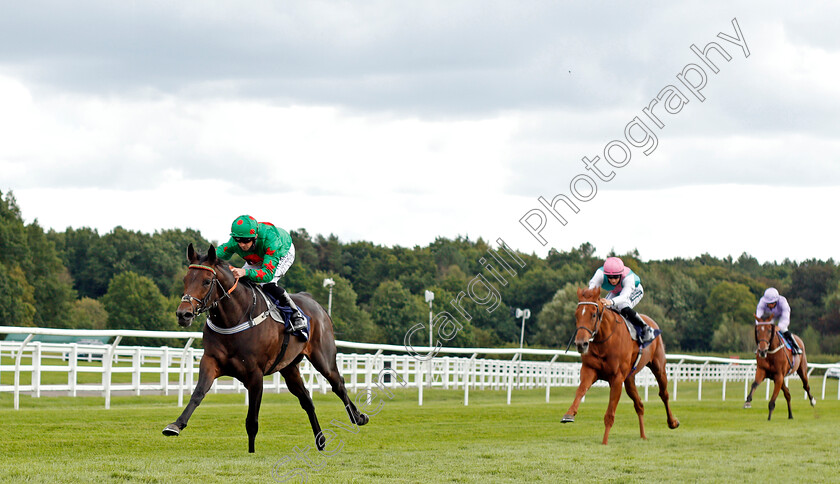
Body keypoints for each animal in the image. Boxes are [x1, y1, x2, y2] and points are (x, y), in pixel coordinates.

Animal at [162, 246, 366, 454]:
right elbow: (198, 393)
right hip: (289, 368)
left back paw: (358, 417)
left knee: (338, 384)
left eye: (206, 281)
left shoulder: (255, 374)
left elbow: (252, 421)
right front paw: (175, 425)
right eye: (185, 279)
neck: (234, 318)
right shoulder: (211, 361)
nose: (183, 314)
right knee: (307, 400)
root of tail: (316, 304)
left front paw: (251, 453)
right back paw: (321, 440)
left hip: (323, 357)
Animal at [560, 288, 680, 446]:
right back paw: (643, 435)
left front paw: (604, 442)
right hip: (629, 379)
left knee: (663, 394)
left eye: (593, 314)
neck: (604, 340)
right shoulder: (590, 370)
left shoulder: (617, 378)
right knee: (639, 404)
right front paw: (569, 414)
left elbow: (610, 413)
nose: (581, 344)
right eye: (576, 314)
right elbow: (580, 390)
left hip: (658, 367)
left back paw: (672, 422)